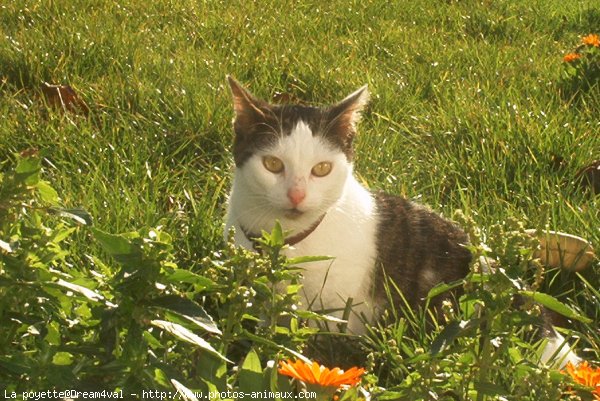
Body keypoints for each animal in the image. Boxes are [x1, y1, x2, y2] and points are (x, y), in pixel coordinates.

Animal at [223, 75, 580, 366]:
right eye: (272, 164)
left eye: (322, 169)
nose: (297, 195)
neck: (286, 239)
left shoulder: (335, 311)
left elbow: (314, 342)